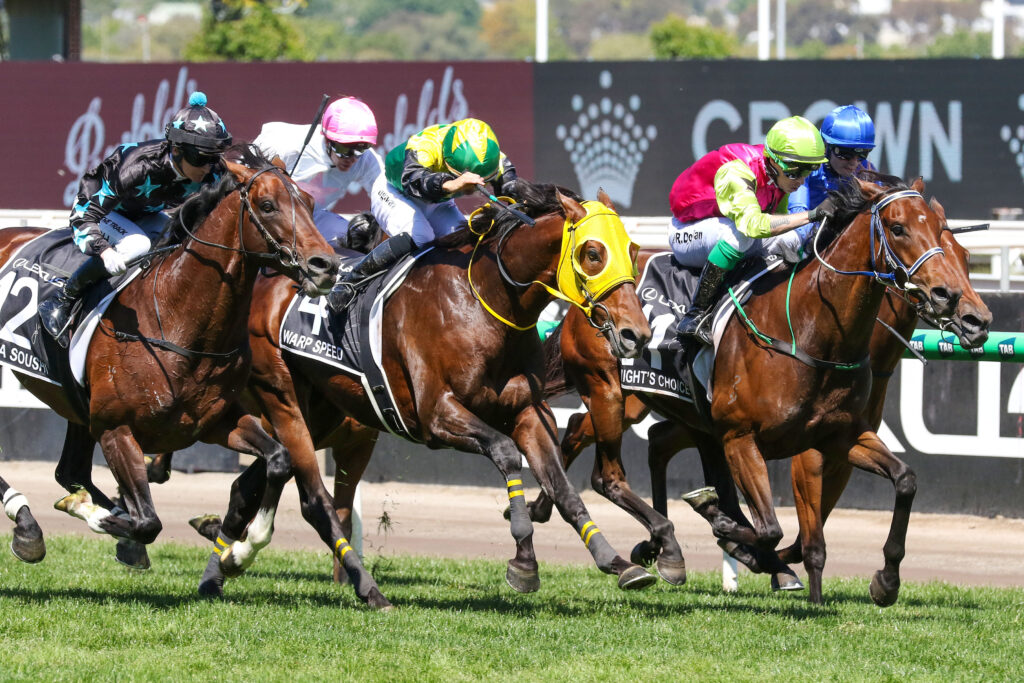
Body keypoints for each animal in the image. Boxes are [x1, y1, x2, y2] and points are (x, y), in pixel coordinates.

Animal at [0, 144, 350, 581]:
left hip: (77, 405)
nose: (326, 265)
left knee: (71, 471)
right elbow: (148, 522)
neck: (176, 319)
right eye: (267, 205)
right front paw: (88, 511)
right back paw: (27, 524)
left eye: (309, 202)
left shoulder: (214, 422)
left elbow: (280, 460)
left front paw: (239, 551)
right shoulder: (115, 429)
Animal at [193, 181, 655, 602]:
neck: (484, 301)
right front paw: (524, 560)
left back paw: (226, 561)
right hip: (283, 397)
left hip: (323, 411)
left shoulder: (526, 411)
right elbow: (506, 453)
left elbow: (563, 488)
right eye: (592, 253)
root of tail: (265, 279)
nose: (637, 334)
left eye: (632, 249)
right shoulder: (436, 414)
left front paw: (617, 561)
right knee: (301, 488)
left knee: (255, 479)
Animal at [540, 175, 987, 602]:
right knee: (604, 469)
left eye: (949, 238)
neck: (810, 330)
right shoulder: (744, 438)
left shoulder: (841, 436)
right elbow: (771, 528)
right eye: (898, 228)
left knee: (625, 437)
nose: (967, 312)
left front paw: (886, 581)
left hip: (661, 408)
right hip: (610, 391)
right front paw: (725, 527)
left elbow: (904, 480)